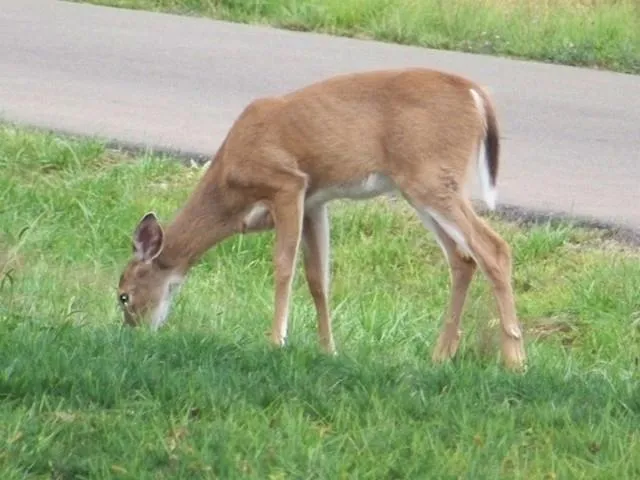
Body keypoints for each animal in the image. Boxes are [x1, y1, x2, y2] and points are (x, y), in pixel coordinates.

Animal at [116, 67, 526, 370]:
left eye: (123, 295)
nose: (133, 334)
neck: (230, 191)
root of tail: (476, 93)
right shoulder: (316, 203)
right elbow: (318, 279)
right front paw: (329, 350)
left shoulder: (287, 184)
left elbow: (284, 266)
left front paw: (276, 341)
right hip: (421, 186)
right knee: (463, 258)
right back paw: (439, 357)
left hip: (431, 177)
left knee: (494, 248)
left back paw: (515, 361)